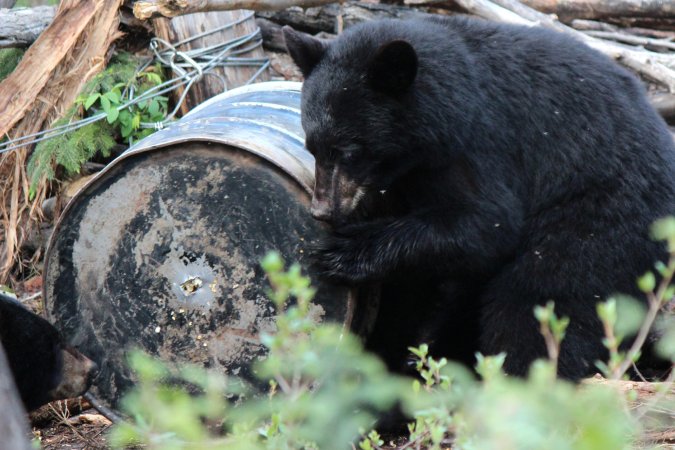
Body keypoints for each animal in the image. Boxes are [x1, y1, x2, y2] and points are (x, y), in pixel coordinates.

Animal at [284, 16, 675, 380]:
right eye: (312, 147)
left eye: (349, 150)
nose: (321, 210)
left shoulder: (477, 145)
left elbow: (487, 223)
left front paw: (343, 251)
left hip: (599, 215)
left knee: (544, 297)